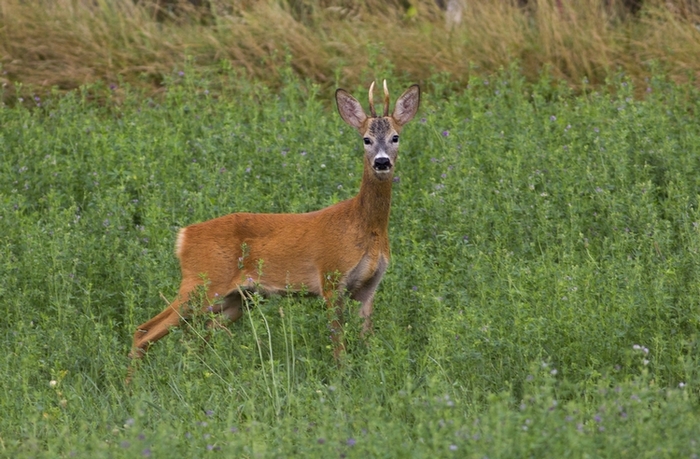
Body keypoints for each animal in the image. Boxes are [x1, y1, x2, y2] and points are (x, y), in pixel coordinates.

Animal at [129, 81, 418, 370]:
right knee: (145, 331)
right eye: (366, 139)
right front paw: (342, 373)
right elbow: (338, 345)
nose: (382, 162)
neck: (365, 227)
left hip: (237, 298)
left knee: (202, 332)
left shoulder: (369, 287)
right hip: (202, 282)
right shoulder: (331, 277)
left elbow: (367, 339)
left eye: (395, 137)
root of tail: (184, 236)